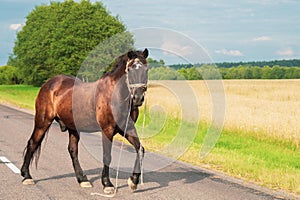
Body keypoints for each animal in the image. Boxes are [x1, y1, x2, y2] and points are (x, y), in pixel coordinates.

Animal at [19, 48, 149, 194]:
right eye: (130, 69)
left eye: (146, 69)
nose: (138, 98)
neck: (115, 95)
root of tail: (48, 84)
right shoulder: (107, 130)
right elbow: (107, 156)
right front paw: (107, 184)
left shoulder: (127, 129)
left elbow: (140, 149)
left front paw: (133, 181)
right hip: (43, 122)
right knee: (32, 143)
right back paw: (26, 176)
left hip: (73, 128)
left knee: (72, 151)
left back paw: (82, 179)